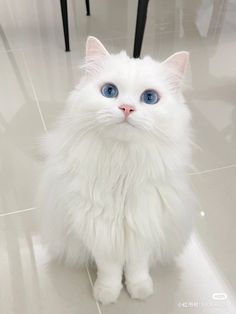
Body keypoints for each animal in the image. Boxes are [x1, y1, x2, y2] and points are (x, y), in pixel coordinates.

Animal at [37, 36, 195, 304]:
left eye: (150, 97)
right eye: (110, 91)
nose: (127, 108)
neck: (123, 164)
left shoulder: (144, 226)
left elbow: (137, 267)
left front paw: (140, 290)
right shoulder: (99, 231)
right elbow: (110, 269)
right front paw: (107, 294)